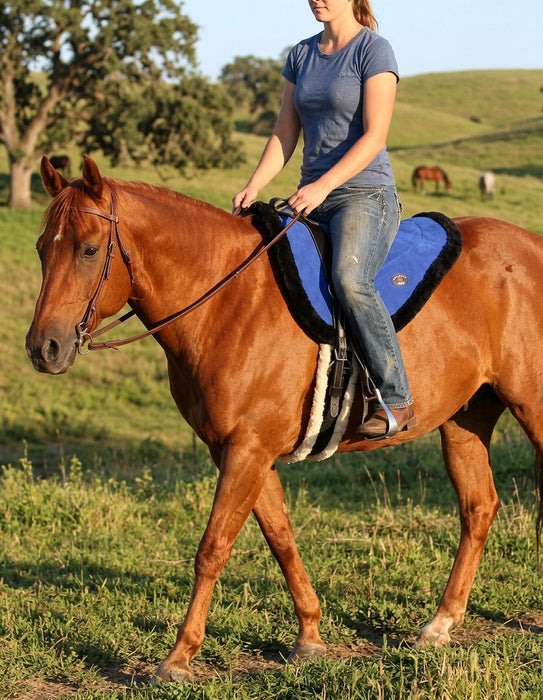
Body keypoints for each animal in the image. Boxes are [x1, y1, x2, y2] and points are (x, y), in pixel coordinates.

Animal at [26, 156, 543, 683]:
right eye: (43, 248)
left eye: (89, 250)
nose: (44, 348)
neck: (228, 303)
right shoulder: (239, 450)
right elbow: (280, 537)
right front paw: (309, 636)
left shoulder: (248, 449)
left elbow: (213, 548)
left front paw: (179, 657)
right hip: (466, 419)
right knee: (478, 507)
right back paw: (440, 624)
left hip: (531, 406)